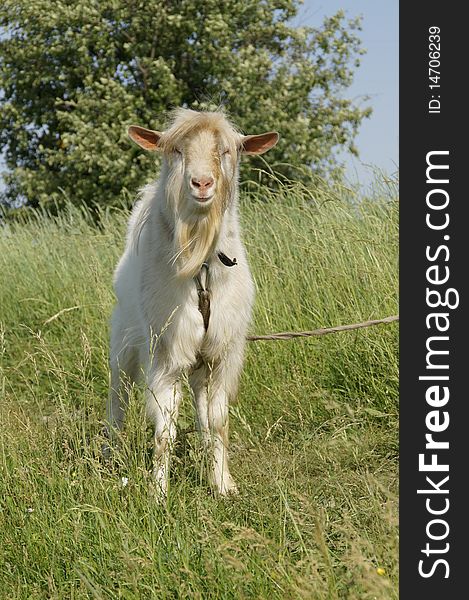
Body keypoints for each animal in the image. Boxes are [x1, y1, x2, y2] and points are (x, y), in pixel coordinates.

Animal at [106, 108, 278, 496]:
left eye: (228, 150)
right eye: (176, 151)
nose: (201, 184)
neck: (201, 265)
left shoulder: (220, 355)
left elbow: (216, 422)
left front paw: (223, 485)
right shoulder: (166, 353)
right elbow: (165, 431)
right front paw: (158, 494)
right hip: (123, 342)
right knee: (117, 399)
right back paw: (109, 453)